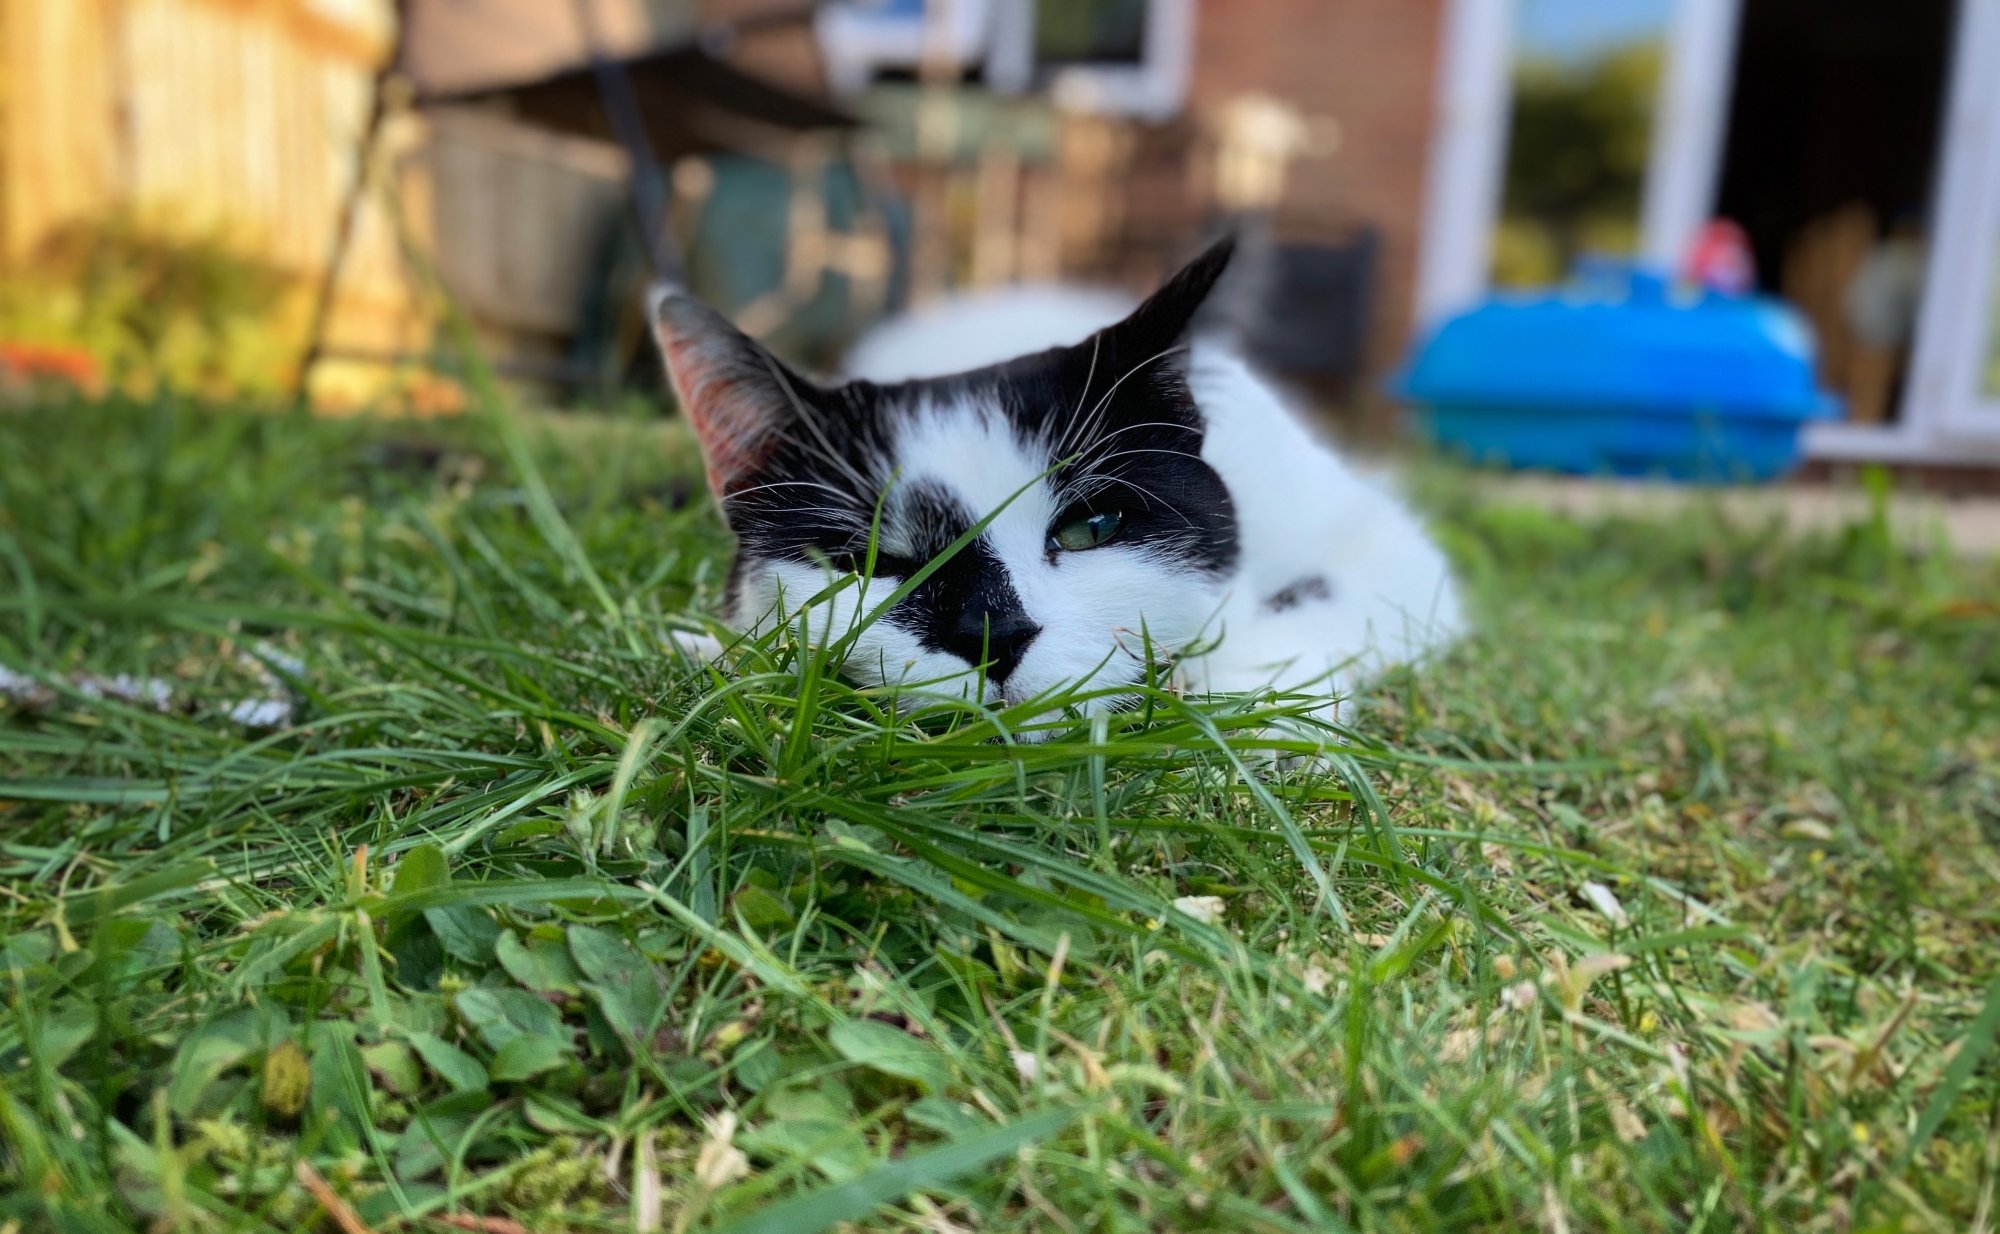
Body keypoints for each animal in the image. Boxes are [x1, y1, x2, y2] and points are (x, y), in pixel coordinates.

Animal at [656, 237, 1456, 728]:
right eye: (872, 562)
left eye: (1090, 529)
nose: (992, 633)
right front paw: (709, 652)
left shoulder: (1390, 550)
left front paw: (1252, 705)